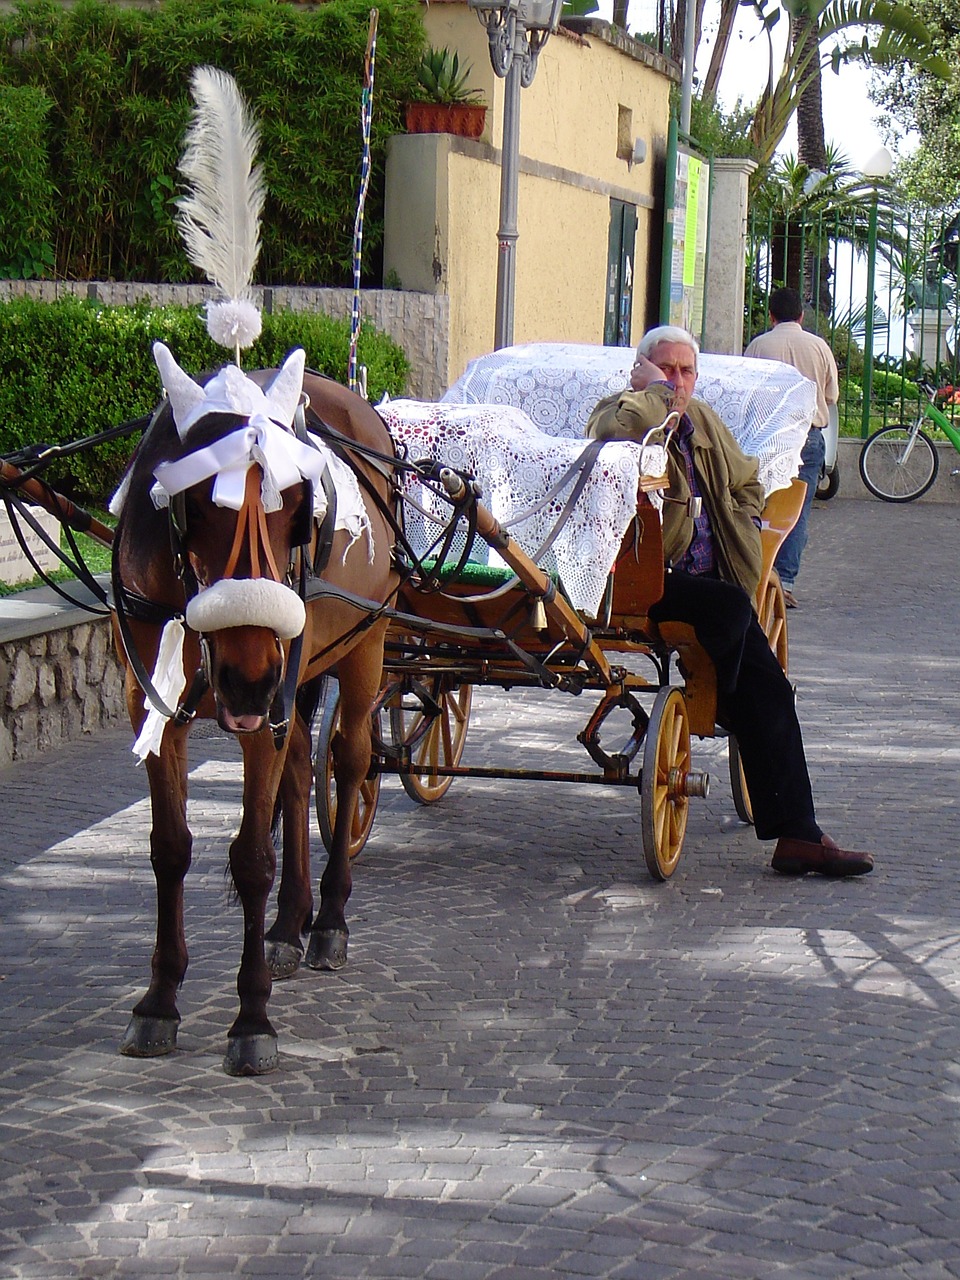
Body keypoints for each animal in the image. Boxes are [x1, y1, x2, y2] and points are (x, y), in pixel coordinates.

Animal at [112, 355, 399, 1075]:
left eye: (296, 509)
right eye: (195, 507)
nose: (248, 680)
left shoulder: (264, 705)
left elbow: (249, 859)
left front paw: (251, 1018)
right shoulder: (153, 705)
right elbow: (169, 848)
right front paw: (159, 1000)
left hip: (364, 646)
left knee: (350, 762)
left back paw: (328, 920)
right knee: (297, 773)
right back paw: (289, 924)